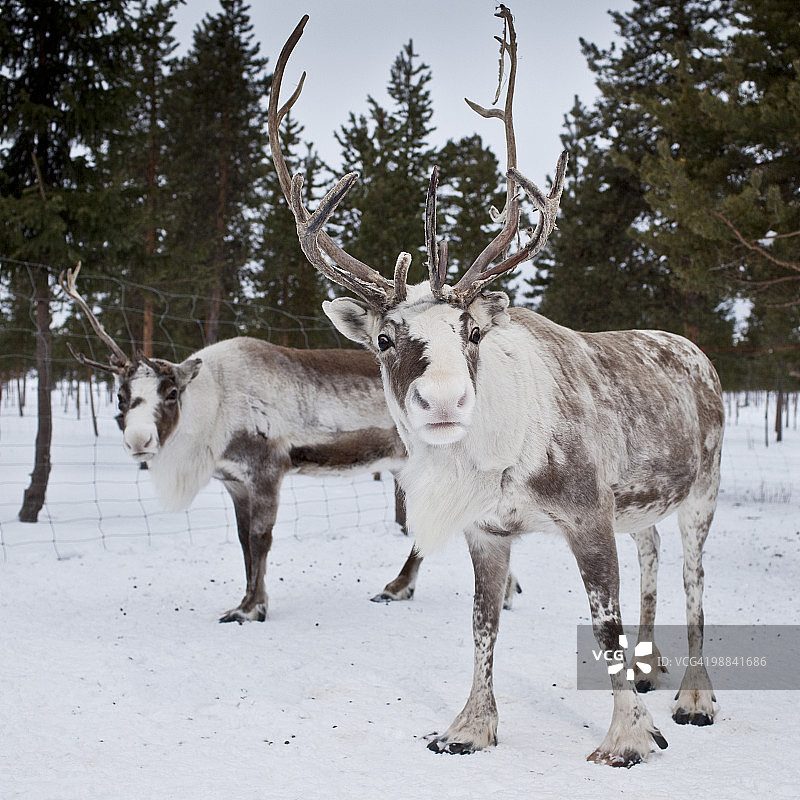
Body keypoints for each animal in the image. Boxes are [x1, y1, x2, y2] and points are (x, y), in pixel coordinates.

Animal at [60, 265, 522, 623]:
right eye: (120, 396)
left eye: (171, 392)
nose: (138, 441)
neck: (215, 408)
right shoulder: (235, 481)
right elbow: (244, 542)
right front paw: (249, 600)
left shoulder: (267, 471)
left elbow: (261, 539)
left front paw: (251, 609)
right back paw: (505, 589)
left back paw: (400, 587)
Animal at [269, 7, 724, 767]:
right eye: (385, 338)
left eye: (471, 332)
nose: (445, 400)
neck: (502, 459)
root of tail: (695, 352)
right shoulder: (488, 531)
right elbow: (482, 625)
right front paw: (470, 727)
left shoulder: (588, 514)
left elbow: (603, 626)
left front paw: (629, 738)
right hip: (640, 501)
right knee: (653, 551)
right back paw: (651, 669)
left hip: (703, 491)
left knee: (693, 579)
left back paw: (693, 697)